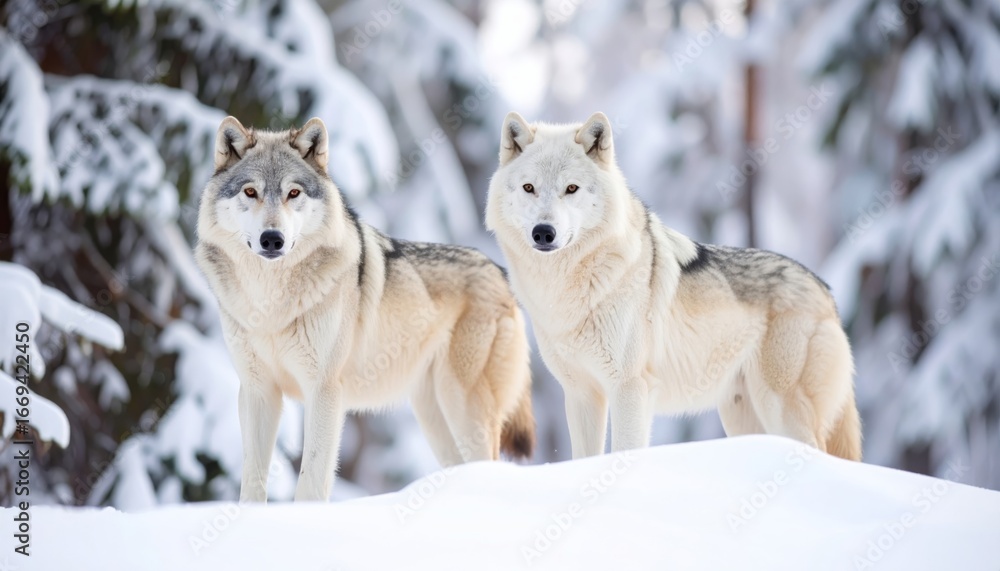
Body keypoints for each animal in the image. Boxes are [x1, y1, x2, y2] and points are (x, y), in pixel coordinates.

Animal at [195, 116, 534, 502]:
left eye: (293, 193)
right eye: (250, 192)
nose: (272, 239)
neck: (269, 302)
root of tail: (500, 272)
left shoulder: (324, 391)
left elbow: (311, 480)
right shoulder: (257, 392)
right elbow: (252, 482)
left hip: (463, 406)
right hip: (435, 417)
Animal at [485, 111, 861, 461]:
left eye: (571, 189)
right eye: (529, 188)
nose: (543, 232)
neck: (567, 289)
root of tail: (825, 290)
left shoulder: (629, 389)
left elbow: (623, 450)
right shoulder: (581, 394)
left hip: (781, 410)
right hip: (743, 417)